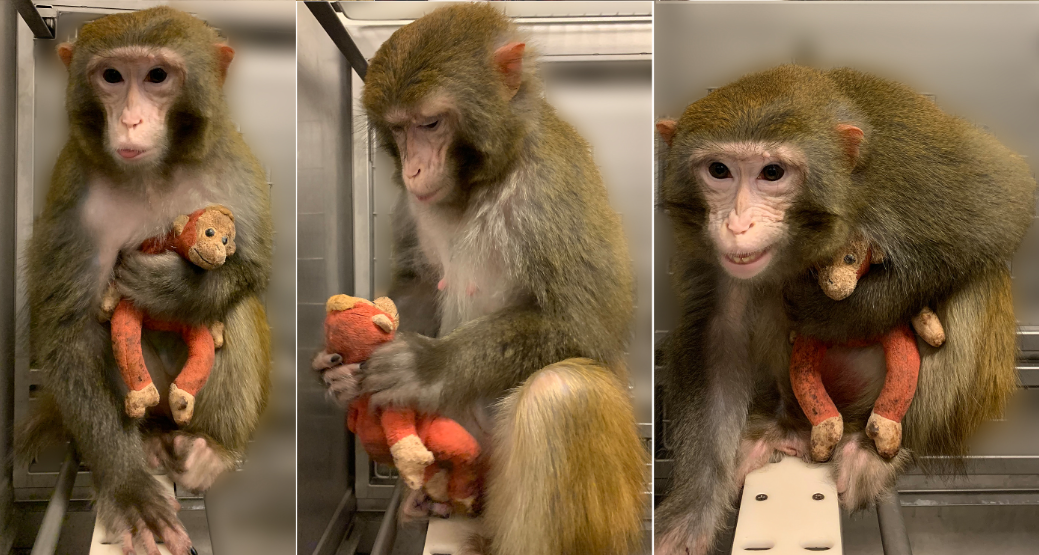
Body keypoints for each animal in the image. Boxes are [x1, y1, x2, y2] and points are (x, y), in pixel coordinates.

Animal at [19, 8, 272, 555]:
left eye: (157, 76)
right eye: (112, 76)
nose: (132, 119)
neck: (153, 175)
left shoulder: (233, 166)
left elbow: (252, 268)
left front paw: (172, 289)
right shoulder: (72, 190)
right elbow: (68, 329)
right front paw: (129, 489)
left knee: (235, 309)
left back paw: (210, 449)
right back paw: (150, 442)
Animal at [311, 4, 647, 555]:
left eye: (430, 123)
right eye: (399, 130)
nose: (413, 169)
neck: (477, 185)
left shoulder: (550, 186)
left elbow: (587, 323)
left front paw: (428, 366)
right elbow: (422, 280)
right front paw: (339, 373)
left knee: (564, 396)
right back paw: (424, 503)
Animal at [653, 65, 1035, 554]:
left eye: (772, 172)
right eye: (719, 170)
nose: (738, 224)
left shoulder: (909, 164)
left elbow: (1001, 207)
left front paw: (837, 316)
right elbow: (718, 333)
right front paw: (691, 513)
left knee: (980, 274)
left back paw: (876, 452)